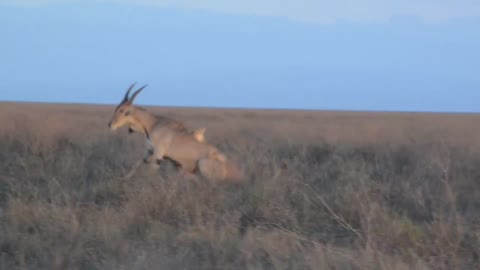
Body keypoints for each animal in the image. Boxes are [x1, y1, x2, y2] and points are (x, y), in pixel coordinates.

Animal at [109, 83, 244, 181]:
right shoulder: (149, 151)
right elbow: (137, 163)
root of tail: (238, 173)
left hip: (203, 165)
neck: (153, 124)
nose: (110, 125)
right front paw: (124, 178)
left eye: (124, 111)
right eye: (117, 108)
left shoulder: (158, 154)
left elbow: (151, 171)